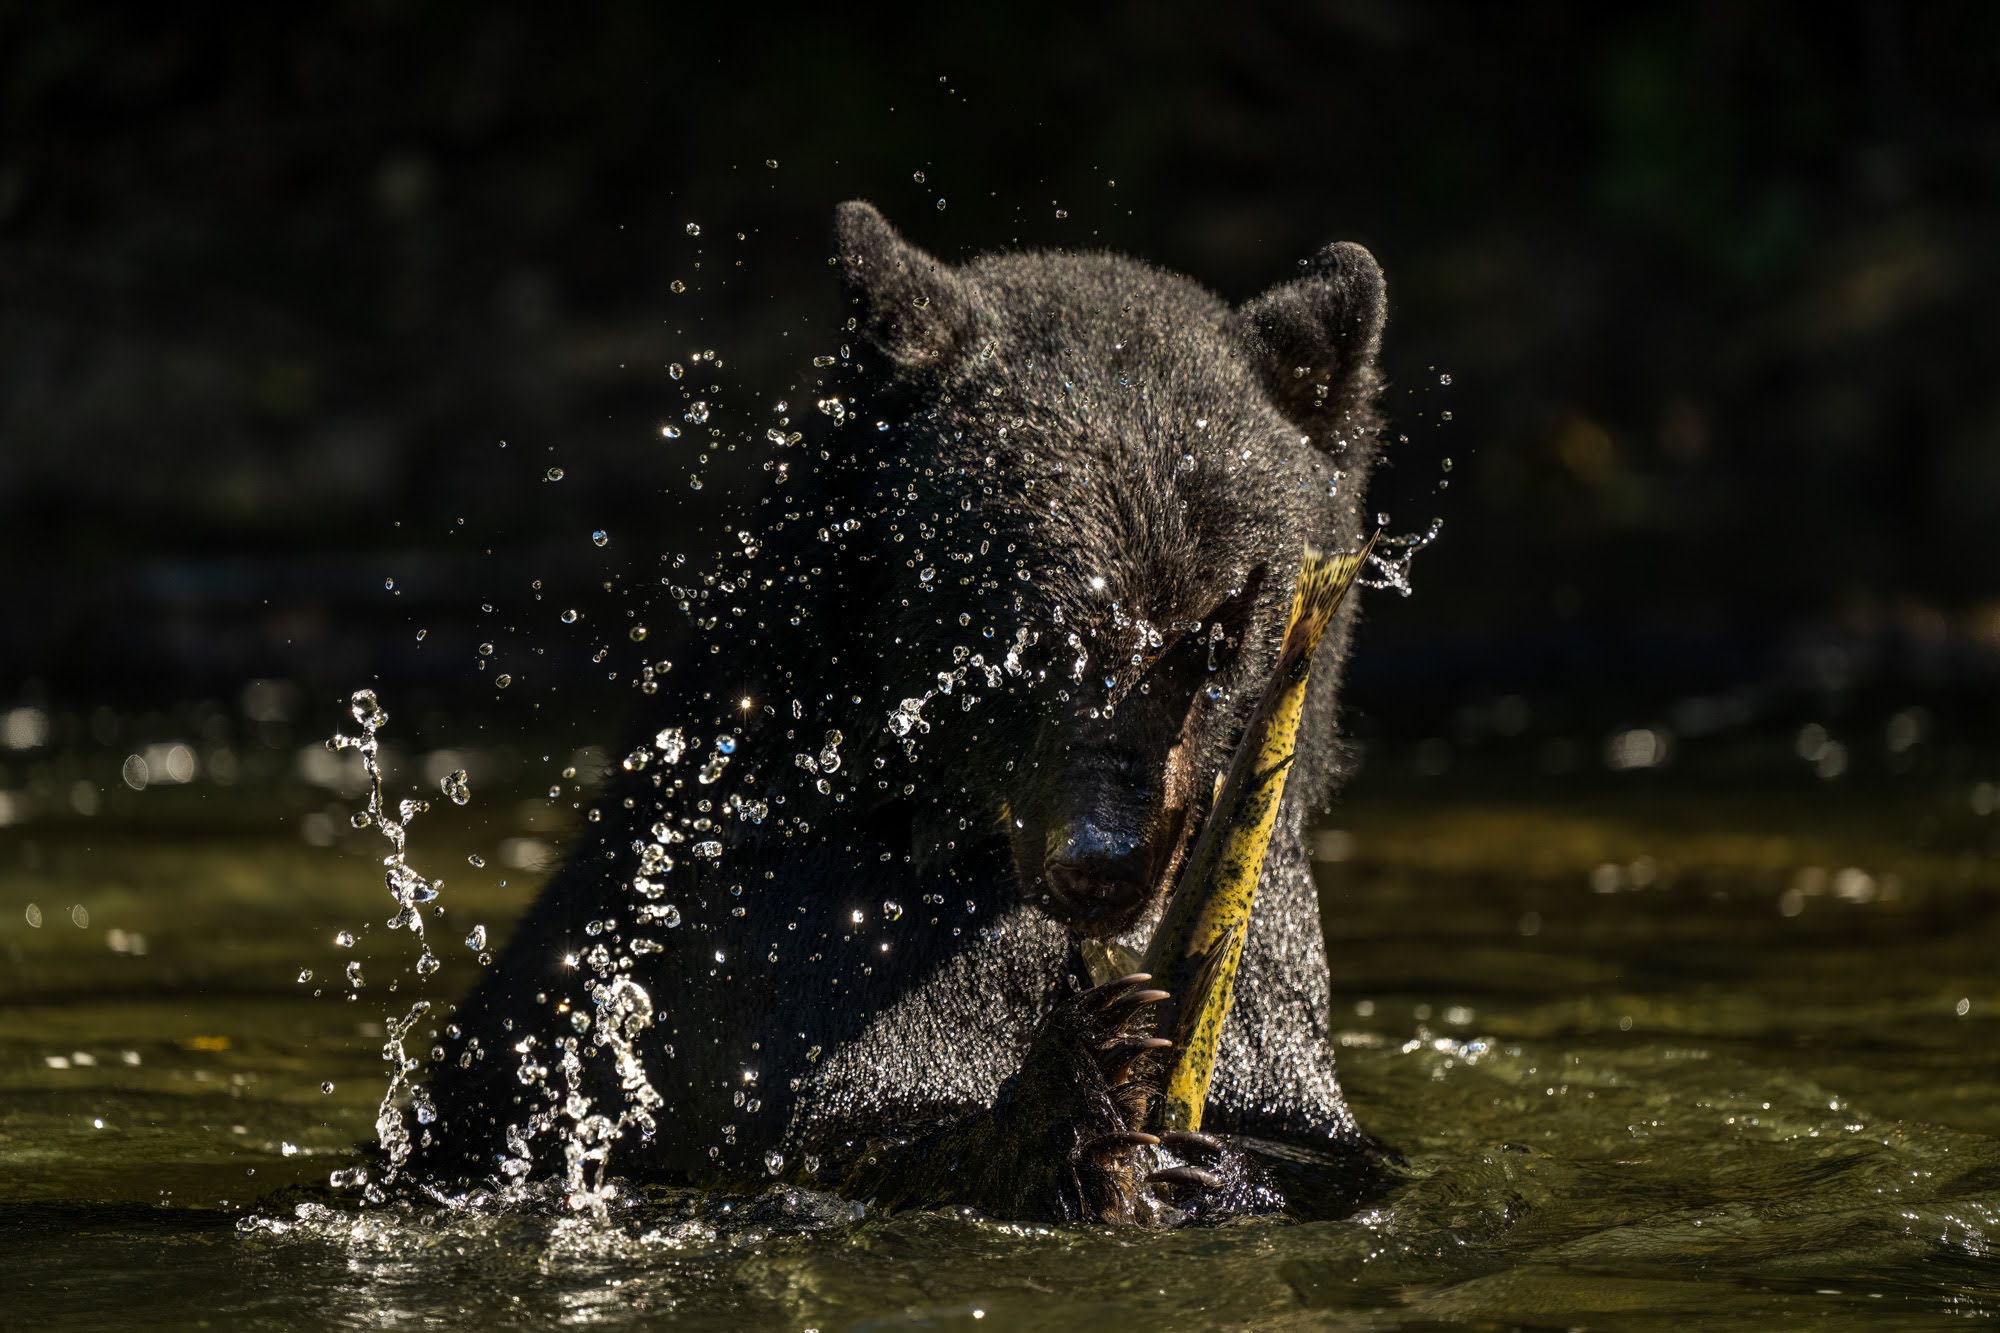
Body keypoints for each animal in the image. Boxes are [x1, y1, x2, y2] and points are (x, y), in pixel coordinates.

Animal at [415, 200, 1394, 1224]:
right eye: (1028, 635)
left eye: (1216, 636)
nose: (1102, 865)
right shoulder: (785, 916)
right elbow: (834, 1127)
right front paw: (1081, 1073)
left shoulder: (1257, 927)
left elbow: (1315, 1131)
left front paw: (1199, 1156)